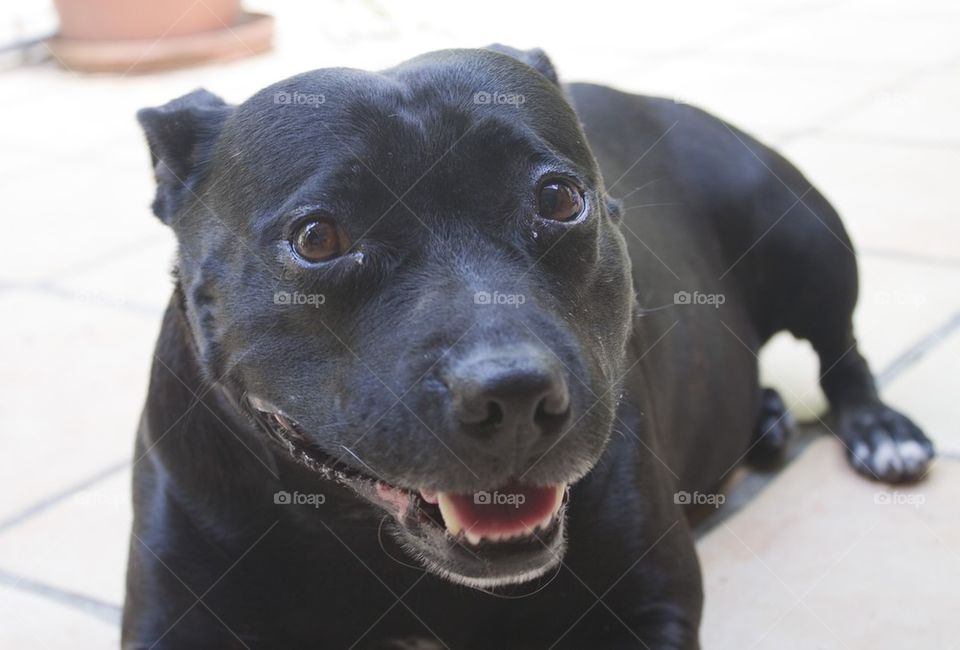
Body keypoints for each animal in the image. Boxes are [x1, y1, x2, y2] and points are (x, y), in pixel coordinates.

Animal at [124, 45, 932, 648]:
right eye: (318, 238)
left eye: (558, 198)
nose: (513, 397)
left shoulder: (647, 608)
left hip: (803, 233)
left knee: (843, 351)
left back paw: (879, 430)